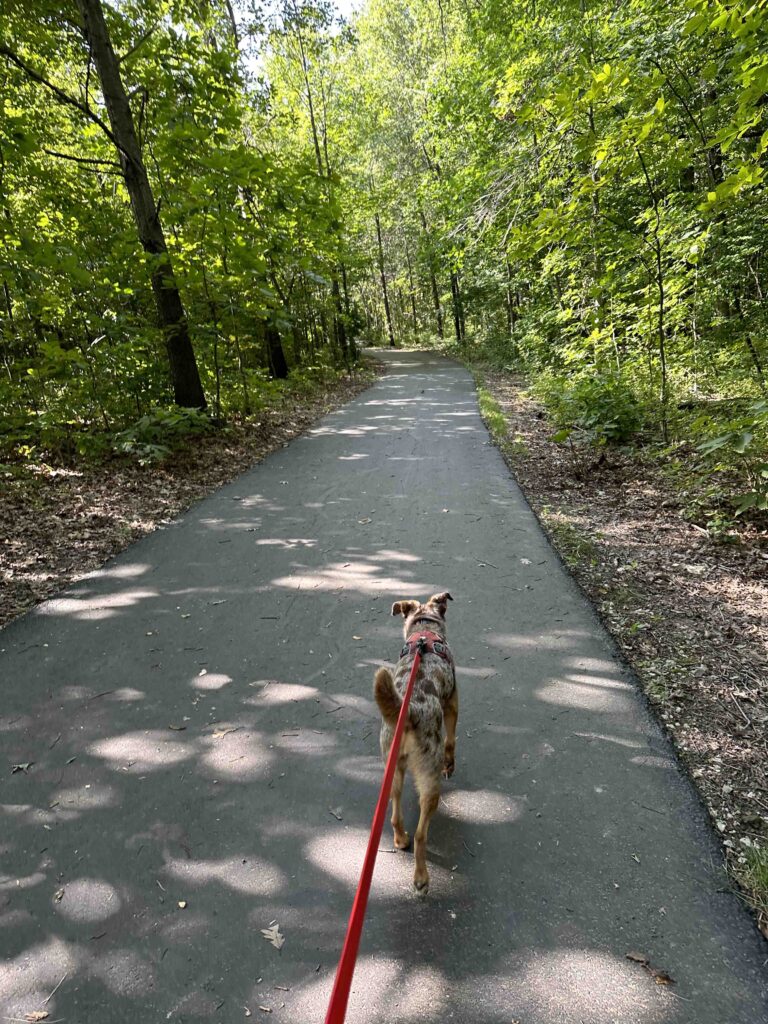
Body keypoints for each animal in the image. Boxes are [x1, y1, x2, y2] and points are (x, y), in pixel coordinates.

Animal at [372, 589, 456, 892]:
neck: (424, 630)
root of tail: (407, 711)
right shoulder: (452, 703)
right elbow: (452, 740)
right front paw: (451, 764)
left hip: (392, 768)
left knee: (395, 814)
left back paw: (400, 840)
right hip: (430, 780)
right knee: (422, 835)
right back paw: (421, 878)